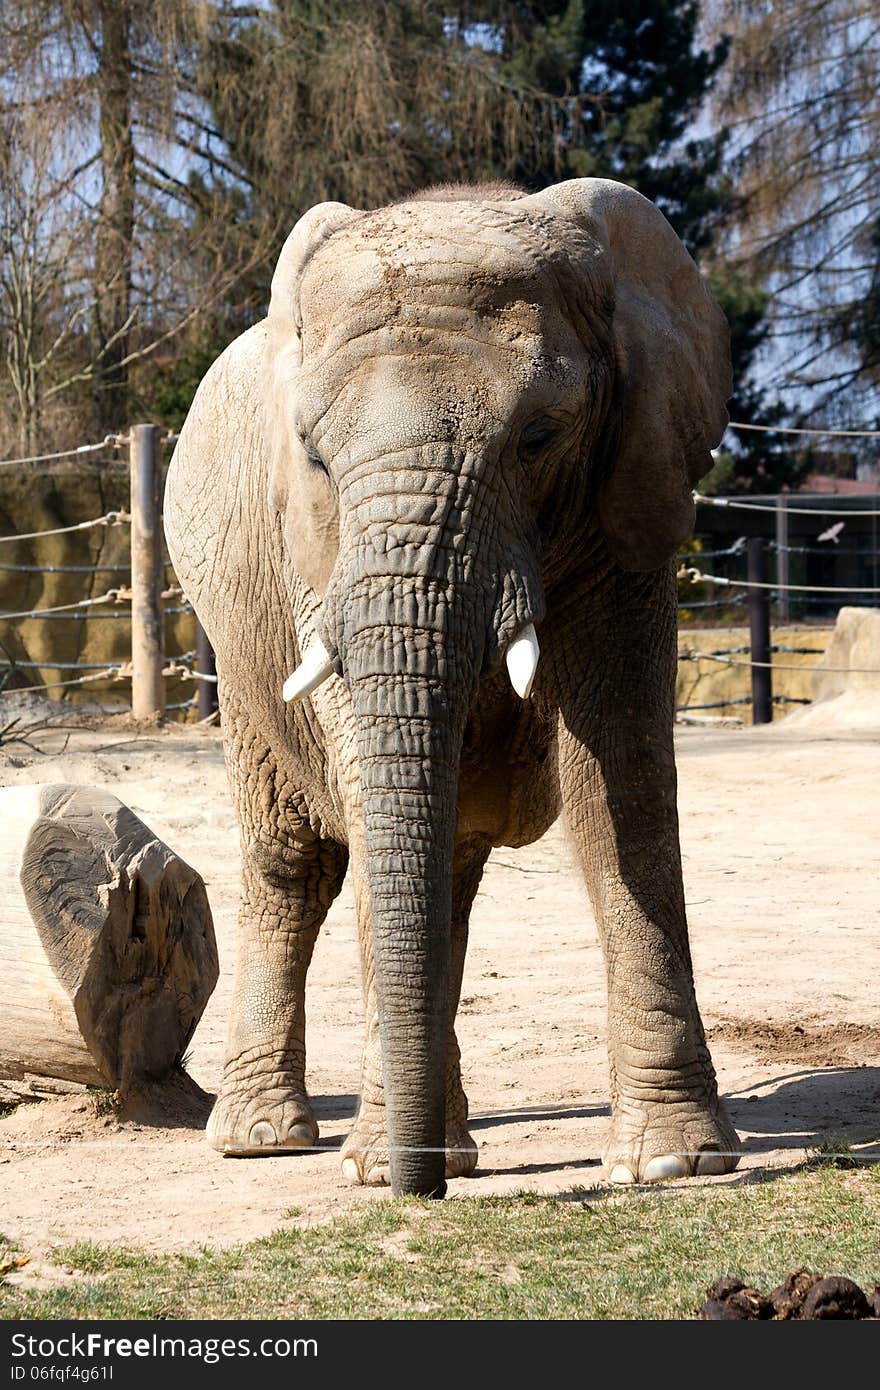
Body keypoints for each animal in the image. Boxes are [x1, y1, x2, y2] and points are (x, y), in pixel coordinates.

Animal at [163, 173, 734, 1195]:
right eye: (312, 453)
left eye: (540, 436)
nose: (415, 1189)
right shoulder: (316, 553)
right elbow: (364, 787)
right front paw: (374, 1169)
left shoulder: (630, 500)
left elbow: (619, 786)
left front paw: (674, 1162)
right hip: (237, 644)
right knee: (294, 859)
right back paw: (268, 1141)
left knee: (448, 864)